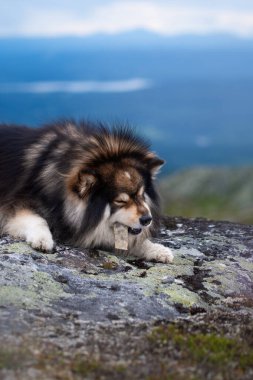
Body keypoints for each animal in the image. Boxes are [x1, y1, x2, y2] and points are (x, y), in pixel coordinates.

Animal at [0, 120, 173, 262]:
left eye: (141, 195)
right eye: (120, 201)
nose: (147, 219)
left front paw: (157, 249)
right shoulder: (17, 203)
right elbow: (37, 219)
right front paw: (43, 239)